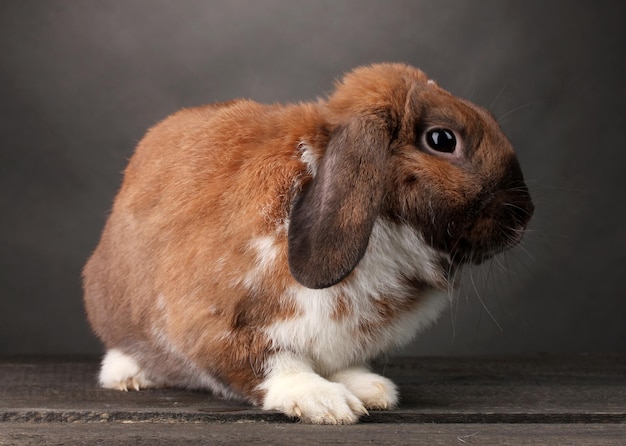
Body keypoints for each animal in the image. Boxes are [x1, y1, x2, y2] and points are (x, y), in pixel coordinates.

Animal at [83, 61, 532, 422]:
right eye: (442, 139)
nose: (524, 214)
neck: (383, 229)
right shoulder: (214, 323)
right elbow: (273, 363)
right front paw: (326, 402)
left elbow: (339, 362)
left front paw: (369, 388)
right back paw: (128, 376)